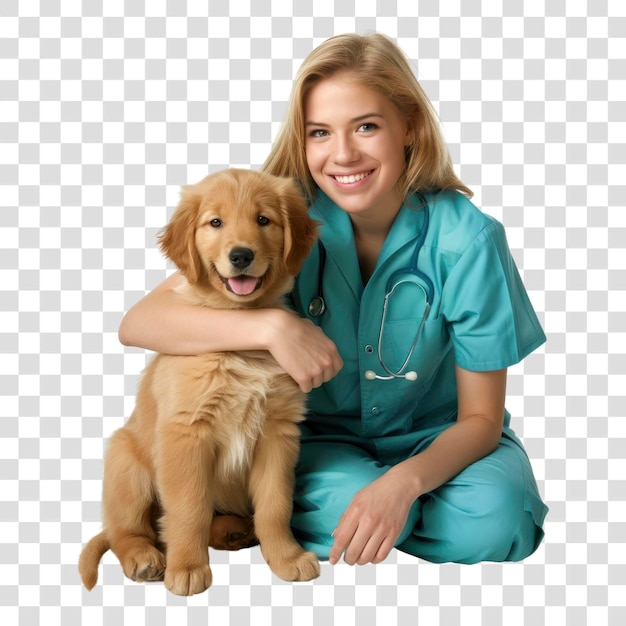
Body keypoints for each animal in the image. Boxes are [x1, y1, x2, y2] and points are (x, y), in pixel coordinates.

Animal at [78, 168, 320, 592]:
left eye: (263, 220)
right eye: (215, 223)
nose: (241, 255)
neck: (241, 336)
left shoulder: (278, 434)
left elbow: (275, 505)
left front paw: (286, 558)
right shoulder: (186, 434)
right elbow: (189, 507)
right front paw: (188, 568)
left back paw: (233, 531)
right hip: (126, 463)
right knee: (127, 529)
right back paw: (145, 558)